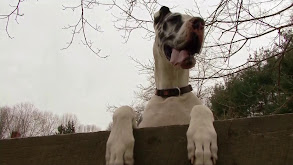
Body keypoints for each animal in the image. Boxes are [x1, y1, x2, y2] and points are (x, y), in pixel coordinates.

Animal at [105, 6, 217, 165]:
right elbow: (123, 109)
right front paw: (118, 147)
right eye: (174, 19)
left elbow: (200, 108)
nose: (199, 22)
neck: (172, 92)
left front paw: (202, 139)